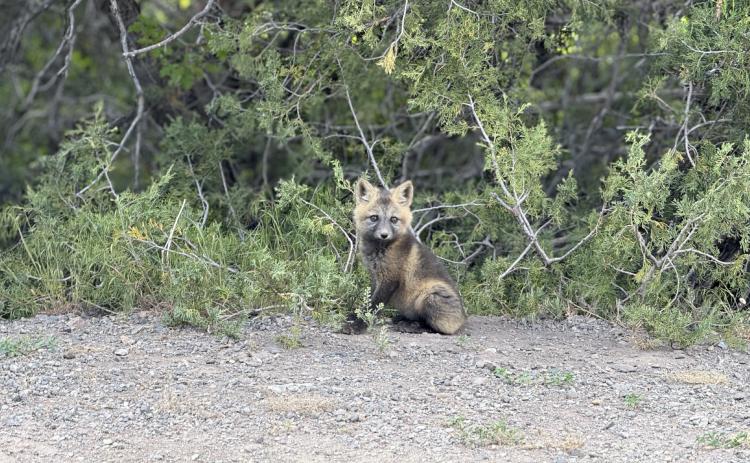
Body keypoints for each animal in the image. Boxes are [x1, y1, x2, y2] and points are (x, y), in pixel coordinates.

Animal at [346, 178, 467, 335]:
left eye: (393, 219)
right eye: (374, 218)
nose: (384, 235)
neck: (381, 250)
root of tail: (463, 319)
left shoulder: (390, 279)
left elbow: (373, 306)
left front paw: (359, 325)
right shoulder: (375, 276)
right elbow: (368, 301)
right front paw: (357, 316)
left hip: (429, 297)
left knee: (435, 327)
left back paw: (411, 326)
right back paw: (402, 319)